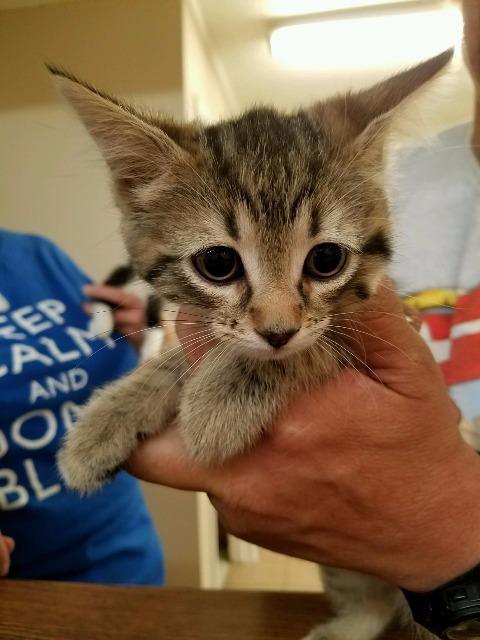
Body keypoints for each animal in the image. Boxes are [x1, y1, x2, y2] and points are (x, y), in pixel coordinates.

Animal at [50, 51, 452, 640]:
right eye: (218, 264)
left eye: (326, 259)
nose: (278, 331)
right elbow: (178, 359)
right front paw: (107, 419)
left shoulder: (379, 324)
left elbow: (317, 347)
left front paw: (219, 402)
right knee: (374, 602)